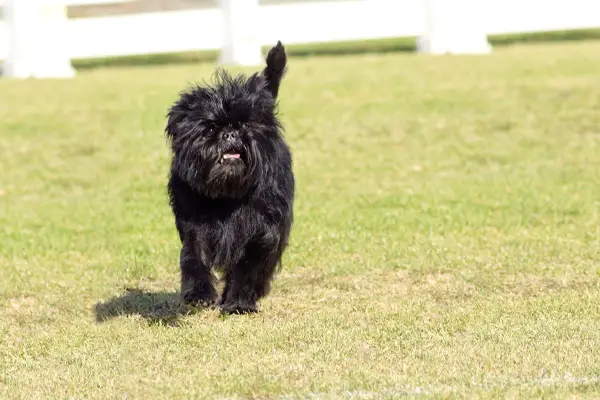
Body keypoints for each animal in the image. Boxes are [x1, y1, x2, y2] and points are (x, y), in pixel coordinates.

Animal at [164, 42, 296, 314]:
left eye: (245, 124)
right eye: (210, 128)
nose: (231, 133)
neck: (228, 194)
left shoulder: (263, 231)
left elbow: (248, 267)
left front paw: (238, 302)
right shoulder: (195, 226)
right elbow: (193, 258)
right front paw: (198, 293)